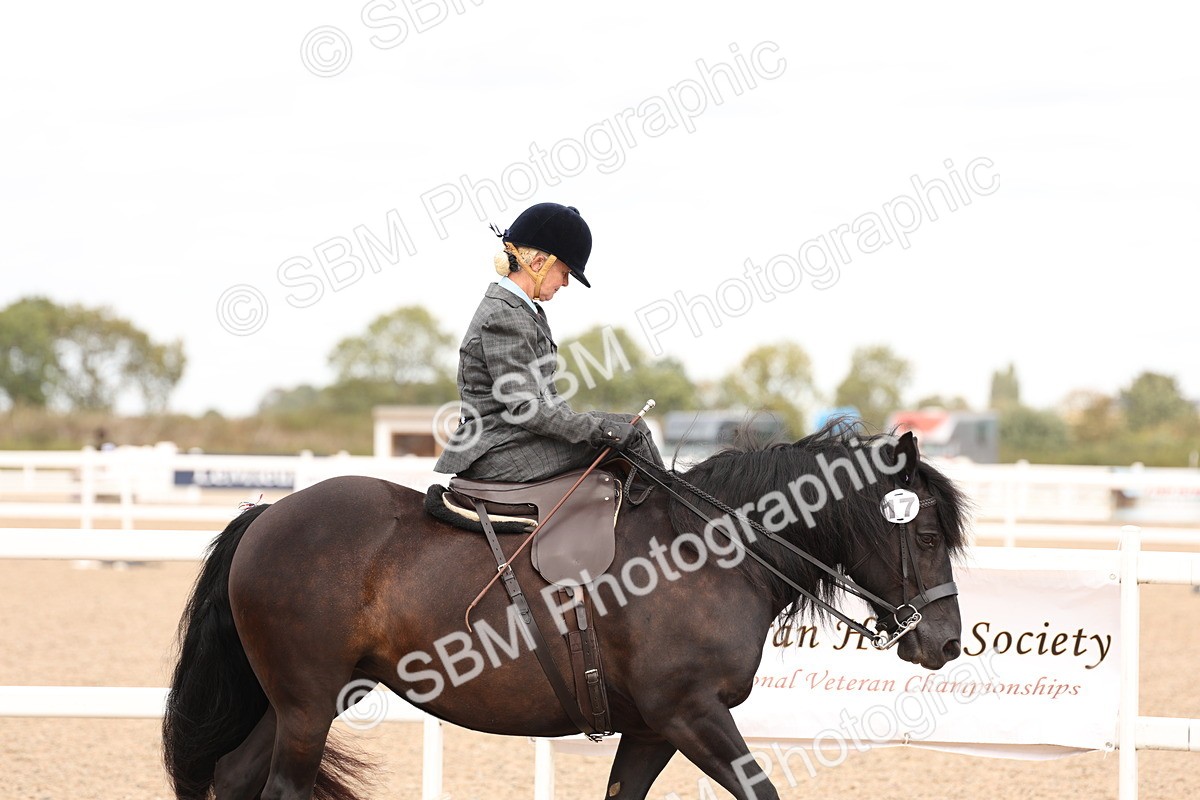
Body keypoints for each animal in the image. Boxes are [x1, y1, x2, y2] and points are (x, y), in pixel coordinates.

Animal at [162, 424, 970, 800]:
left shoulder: (652, 728)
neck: (712, 552)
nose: (946, 642)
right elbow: (760, 788)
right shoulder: (691, 713)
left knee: (235, 775)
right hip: (307, 704)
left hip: (307, 698)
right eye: (928, 536)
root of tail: (268, 514)